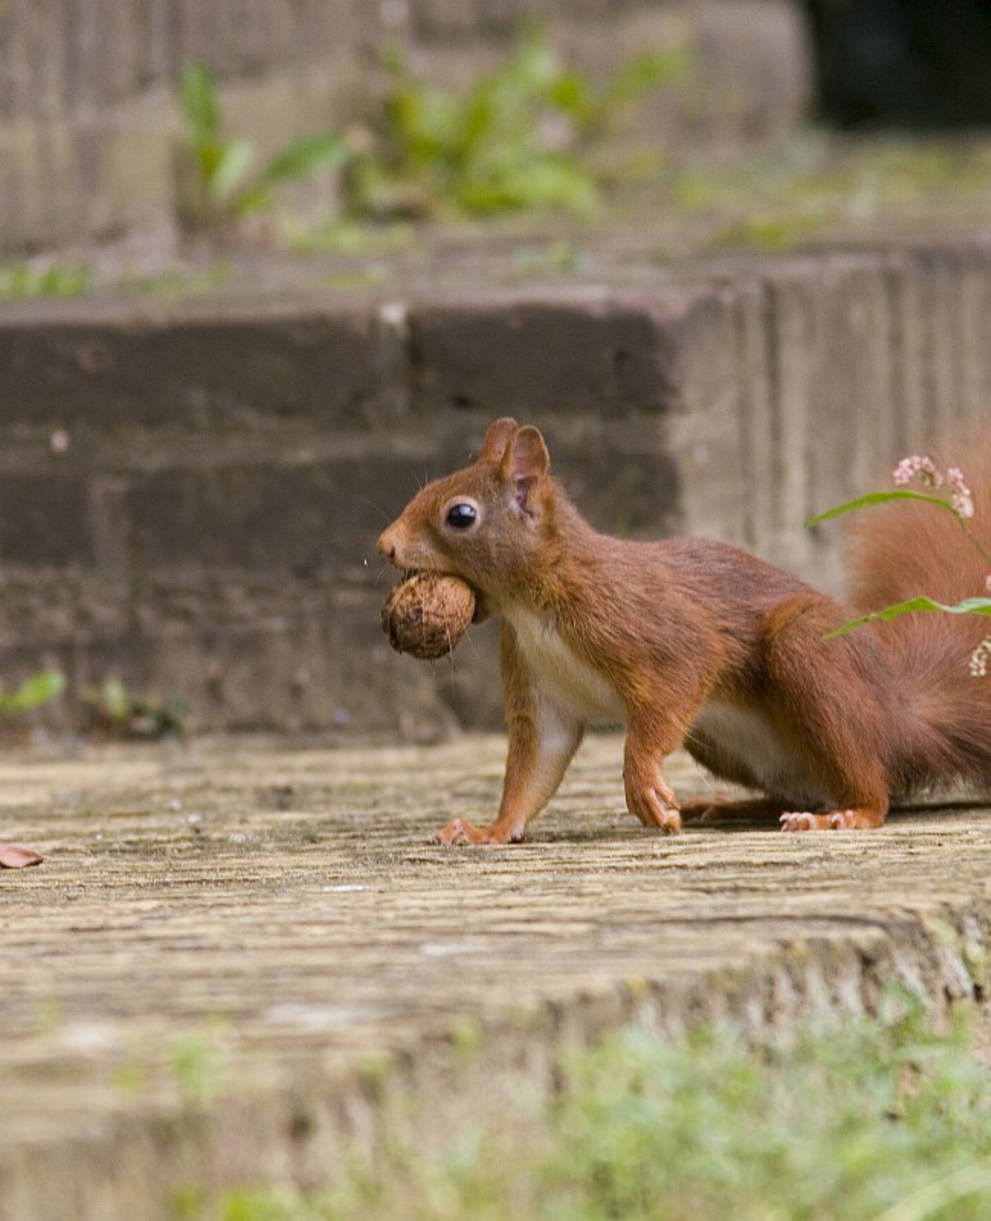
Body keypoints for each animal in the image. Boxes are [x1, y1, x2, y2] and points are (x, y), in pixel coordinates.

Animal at [375, 417, 986, 840]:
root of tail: (899, 717)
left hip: (808, 656)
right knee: (805, 786)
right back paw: (726, 806)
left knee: (874, 791)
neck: (532, 604)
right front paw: (491, 831)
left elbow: (675, 684)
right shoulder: (538, 684)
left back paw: (846, 814)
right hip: (719, 741)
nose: (383, 545)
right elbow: (534, 766)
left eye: (460, 515)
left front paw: (641, 779)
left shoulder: (648, 627)